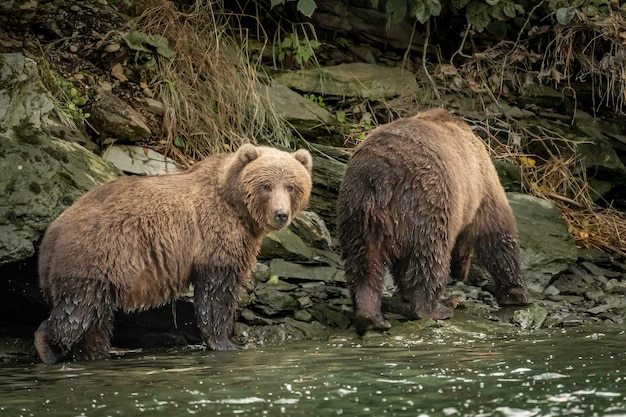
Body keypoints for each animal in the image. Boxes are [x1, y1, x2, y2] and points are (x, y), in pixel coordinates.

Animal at [34, 142, 312, 360]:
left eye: (291, 186)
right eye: (266, 185)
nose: (281, 214)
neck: (238, 208)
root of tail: (52, 232)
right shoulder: (215, 236)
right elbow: (217, 292)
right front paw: (226, 342)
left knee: (96, 319)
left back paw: (95, 353)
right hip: (99, 254)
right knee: (80, 308)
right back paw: (47, 346)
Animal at [336, 108, 532, 334]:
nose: (462, 274)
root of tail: (381, 173)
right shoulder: (481, 185)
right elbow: (496, 232)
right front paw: (516, 293)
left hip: (358, 206)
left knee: (364, 257)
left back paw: (370, 317)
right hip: (429, 199)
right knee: (430, 253)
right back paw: (436, 308)